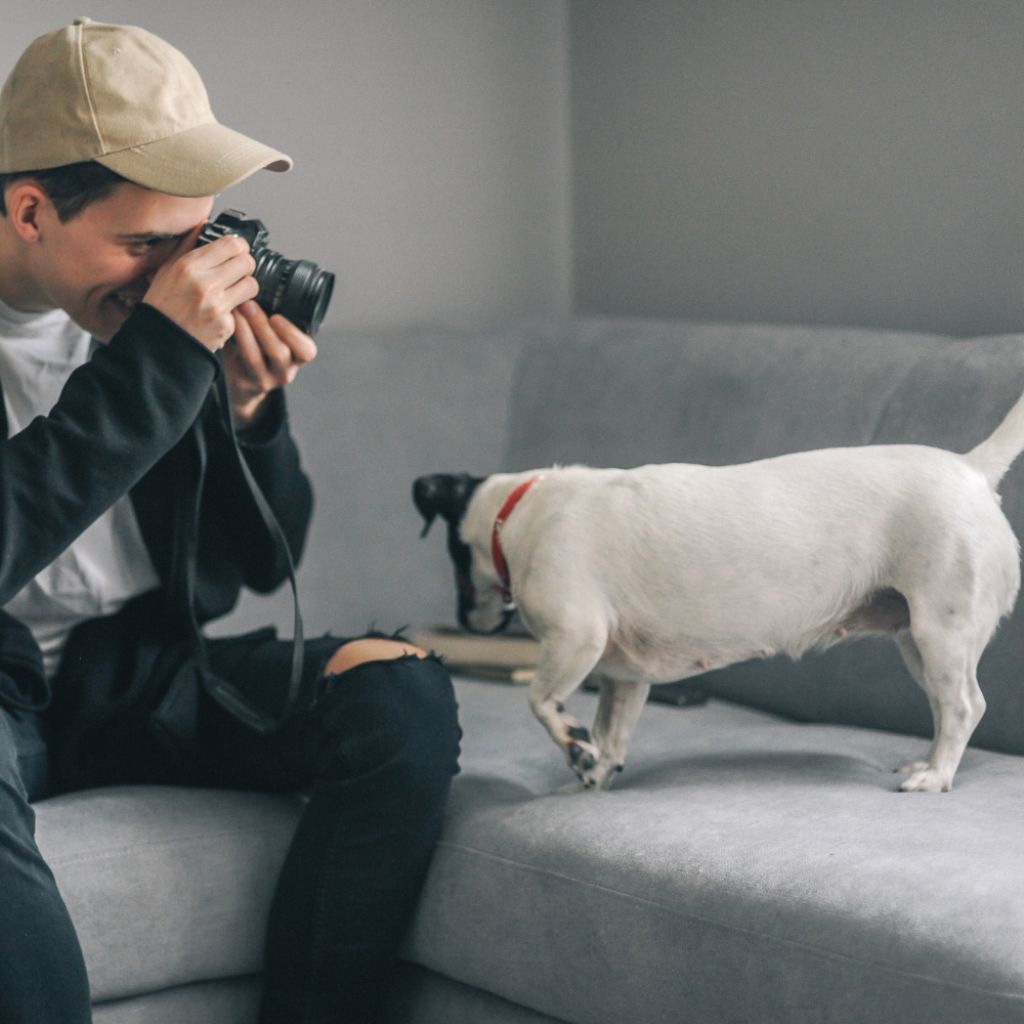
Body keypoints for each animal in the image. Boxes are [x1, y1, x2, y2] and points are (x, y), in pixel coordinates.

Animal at [411, 385, 1024, 790]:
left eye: (454, 559)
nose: (462, 624)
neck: (519, 512)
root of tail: (972, 469)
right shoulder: (623, 676)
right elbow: (611, 733)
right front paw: (594, 770)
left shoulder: (574, 638)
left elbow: (541, 701)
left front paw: (573, 744)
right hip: (917, 642)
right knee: (944, 708)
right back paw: (928, 761)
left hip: (941, 632)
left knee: (964, 705)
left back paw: (937, 776)